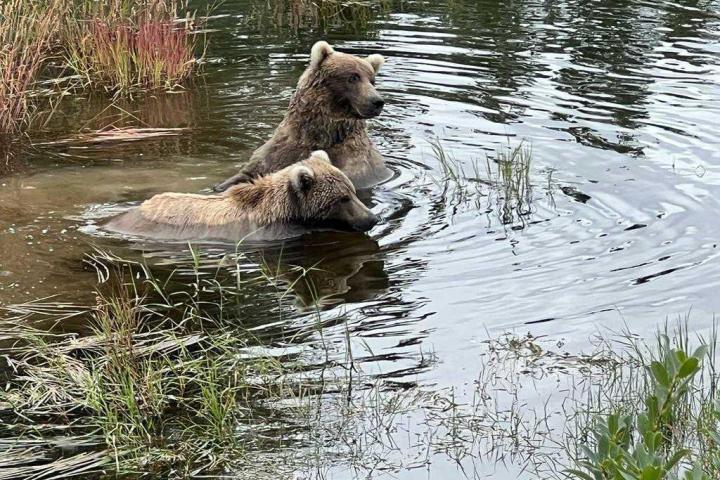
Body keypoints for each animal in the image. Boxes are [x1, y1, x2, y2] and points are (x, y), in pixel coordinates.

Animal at [213, 41, 391, 192]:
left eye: (372, 80)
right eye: (353, 77)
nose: (377, 101)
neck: (317, 134)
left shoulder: (353, 165)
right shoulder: (281, 150)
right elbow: (250, 171)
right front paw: (220, 186)